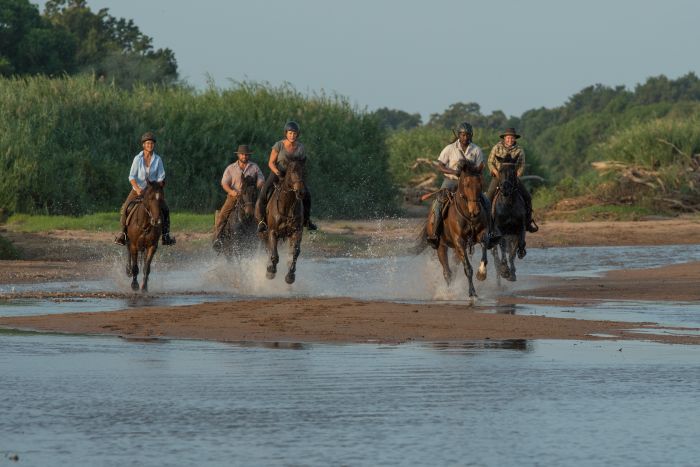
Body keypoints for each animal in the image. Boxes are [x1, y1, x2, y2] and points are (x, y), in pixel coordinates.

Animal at [262, 156, 304, 286]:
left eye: (304, 172)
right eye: (291, 172)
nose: (300, 192)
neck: (288, 204)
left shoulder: (297, 232)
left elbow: (294, 253)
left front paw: (290, 276)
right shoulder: (272, 232)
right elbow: (274, 254)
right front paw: (270, 271)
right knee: (268, 249)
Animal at [426, 159, 486, 298]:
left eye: (481, 183)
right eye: (466, 184)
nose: (476, 211)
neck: (468, 216)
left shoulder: (482, 235)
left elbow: (484, 254)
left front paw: (481, 273)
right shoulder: (459, 242)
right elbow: (468, 268)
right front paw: (472, 292)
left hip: (455, 250)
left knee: (454, 269)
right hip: (441, 246)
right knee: (447, 272)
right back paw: (449, 292)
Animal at [490, 155, 528, 284]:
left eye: (513, 171)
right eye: (500, 170)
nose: (505, 189)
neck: (508, 205)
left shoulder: (518, 230)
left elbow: (513, 252)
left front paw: (512, 274)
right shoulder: (499, 229)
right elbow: (502, 247)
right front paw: (505, 270)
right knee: (495, 254)